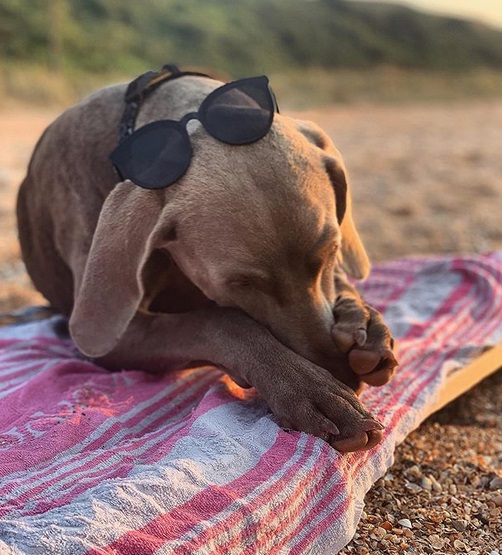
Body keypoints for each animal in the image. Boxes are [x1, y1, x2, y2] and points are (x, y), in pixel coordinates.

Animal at [17, 67, 398, 454]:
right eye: (242, 284)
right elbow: (221, 321)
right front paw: (312, 390)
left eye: (331, 250)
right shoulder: (112, 337)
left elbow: (342, 285)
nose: (341, 373)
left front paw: (364, 324)